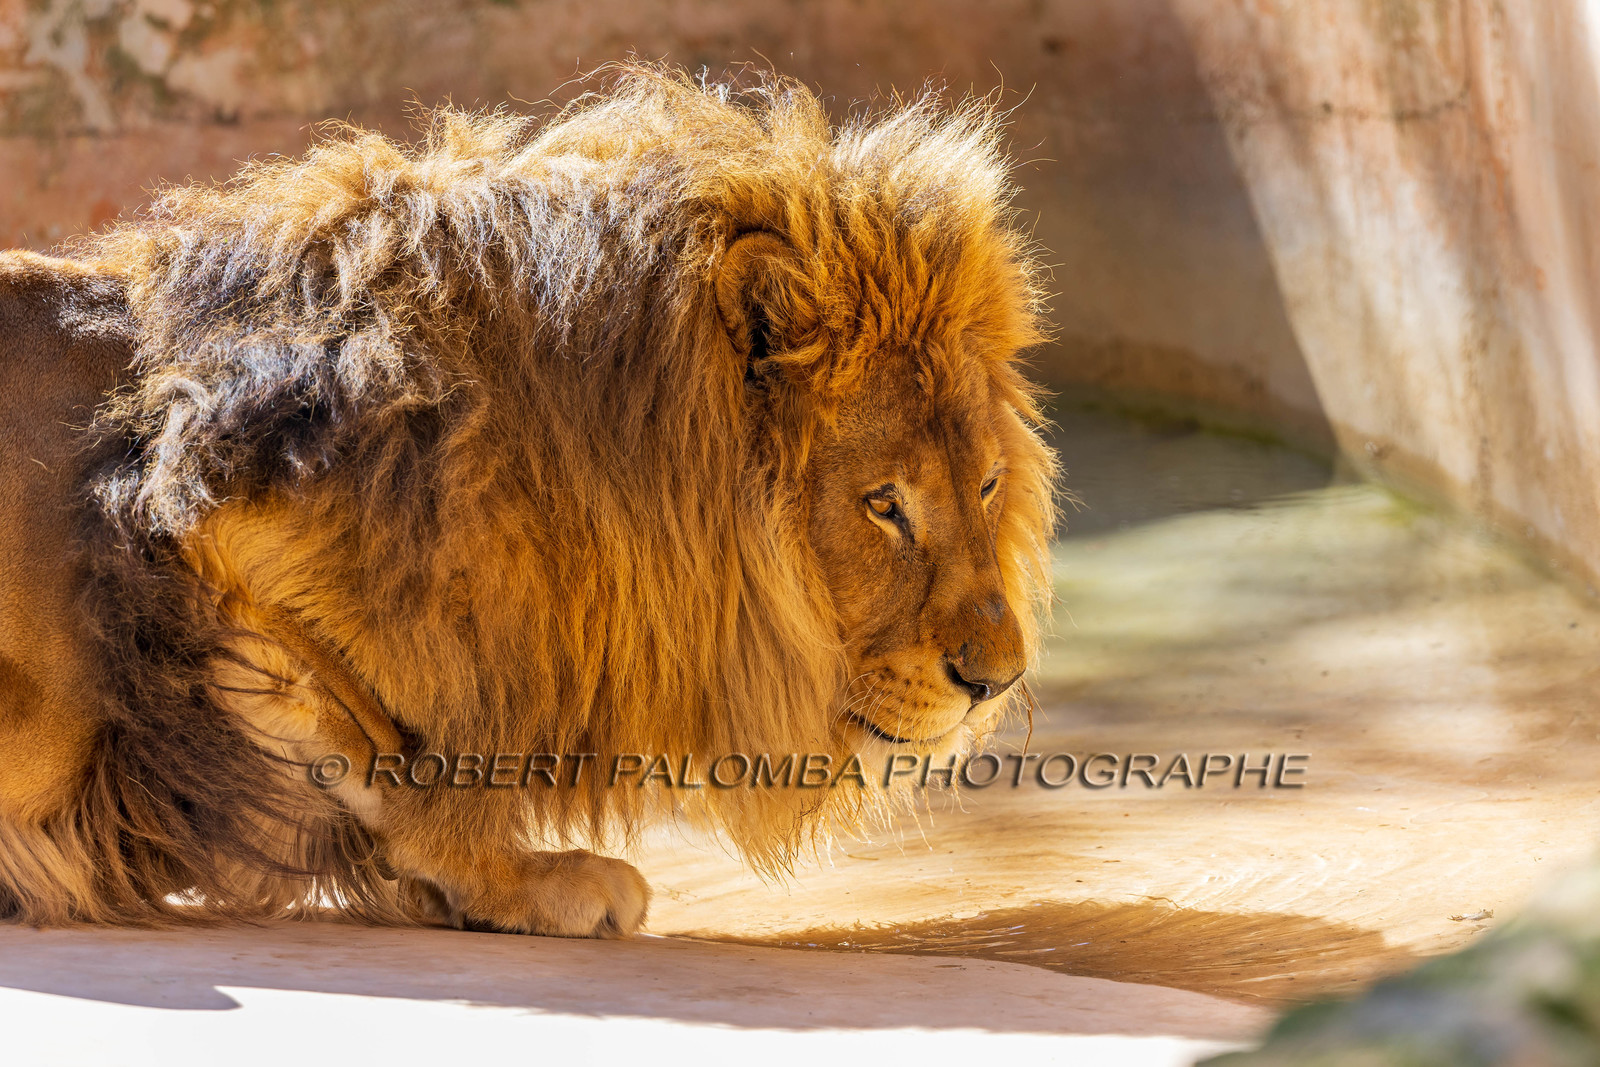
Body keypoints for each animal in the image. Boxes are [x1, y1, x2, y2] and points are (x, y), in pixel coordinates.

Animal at [0, 67, 1057, 937]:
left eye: (986, 485)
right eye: (884, 505)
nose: (996, 680)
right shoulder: (172, 521)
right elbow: (376, 735)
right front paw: (525, 877)